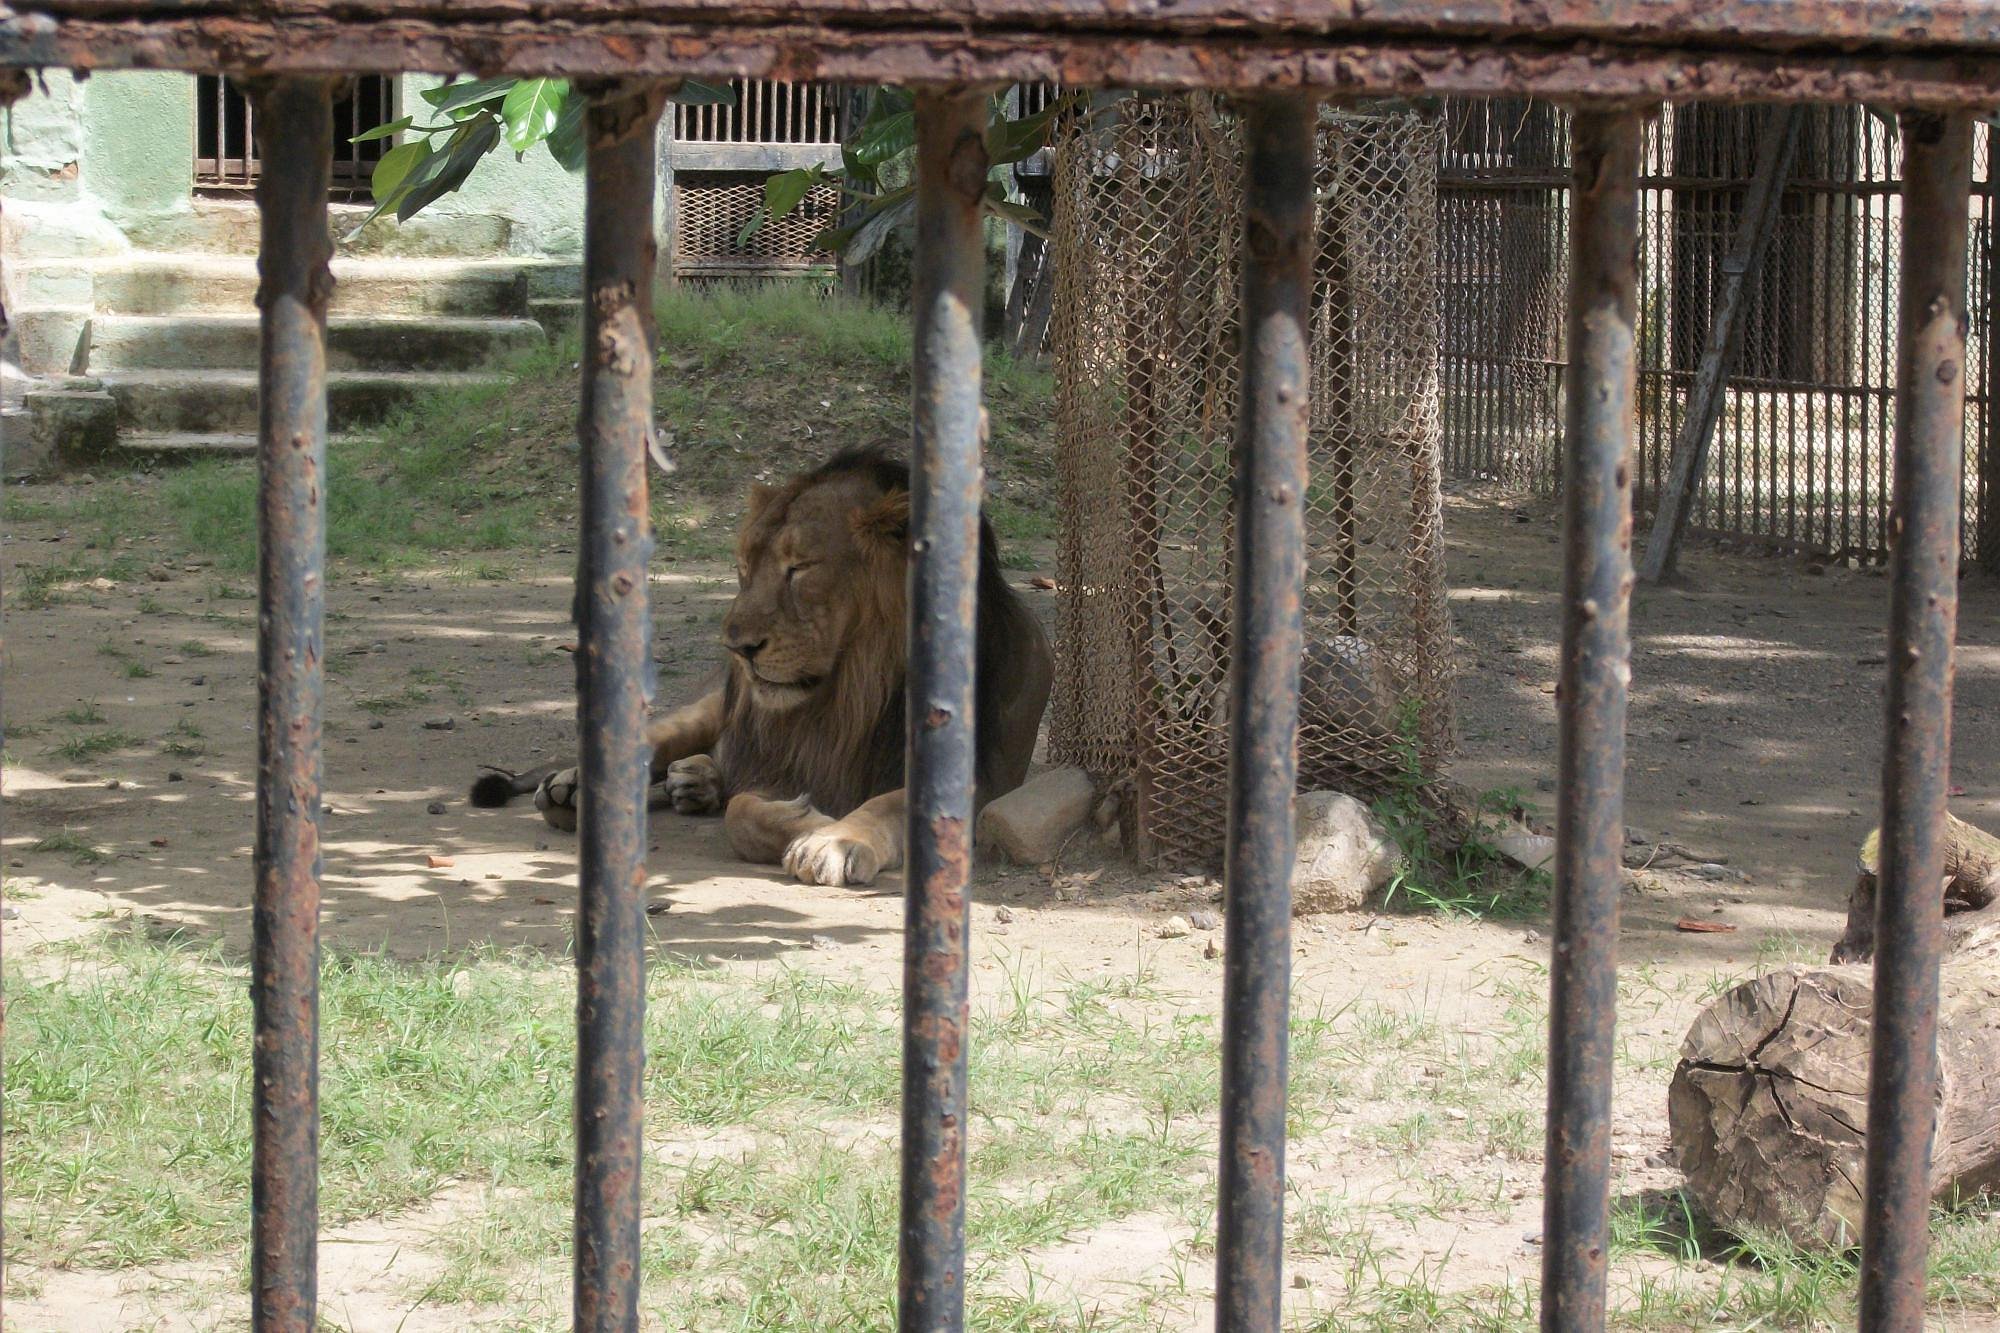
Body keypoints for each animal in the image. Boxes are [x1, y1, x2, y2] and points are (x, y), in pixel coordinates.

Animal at [470, 447, 1053, 888]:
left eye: (800, 568)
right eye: (743, 567)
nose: (737, 646)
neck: (849, 693)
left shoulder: (980, 778)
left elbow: (888, 805)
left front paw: (833, 840)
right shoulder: (782, 762)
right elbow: (742, 812)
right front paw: (806, 819)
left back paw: (694, 780)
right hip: (710, 706)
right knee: (654, 738)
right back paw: (573, 787)